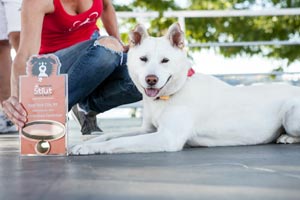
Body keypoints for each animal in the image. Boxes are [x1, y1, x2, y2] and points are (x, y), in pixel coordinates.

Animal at [69, 23, 300, 155]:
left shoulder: (166, 137)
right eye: (143, 59)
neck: (172, 93)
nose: (151, 79)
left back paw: (287, 137)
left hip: (291, 115)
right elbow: (112, 136)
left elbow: (119, 143)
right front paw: (83, 143)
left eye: (165, 61)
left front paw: (88, 148)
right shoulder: (147, 130)